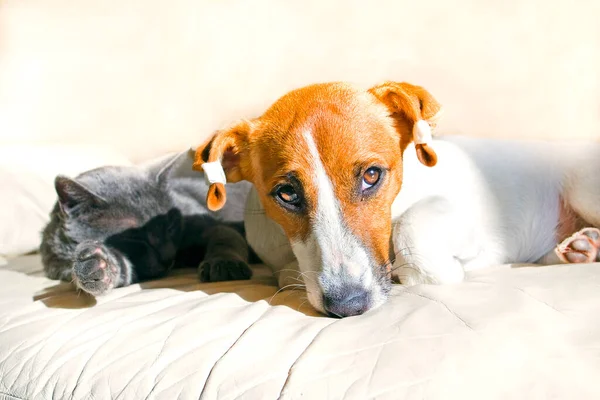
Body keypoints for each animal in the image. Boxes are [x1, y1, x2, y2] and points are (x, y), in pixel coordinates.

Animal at [40, 148, 253, 296]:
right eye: (134, 237)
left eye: (171, 227)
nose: (169, 258)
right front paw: (97, 266)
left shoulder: (205, 225)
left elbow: (225, 236)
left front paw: (224, 264)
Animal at [193, 81, 600, 318]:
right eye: (287, 193)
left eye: (372, 175)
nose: (348, 306)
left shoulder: (460, 217)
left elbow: (411, 231)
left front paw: (440, 271)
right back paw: (580, 248)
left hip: (583, 186)